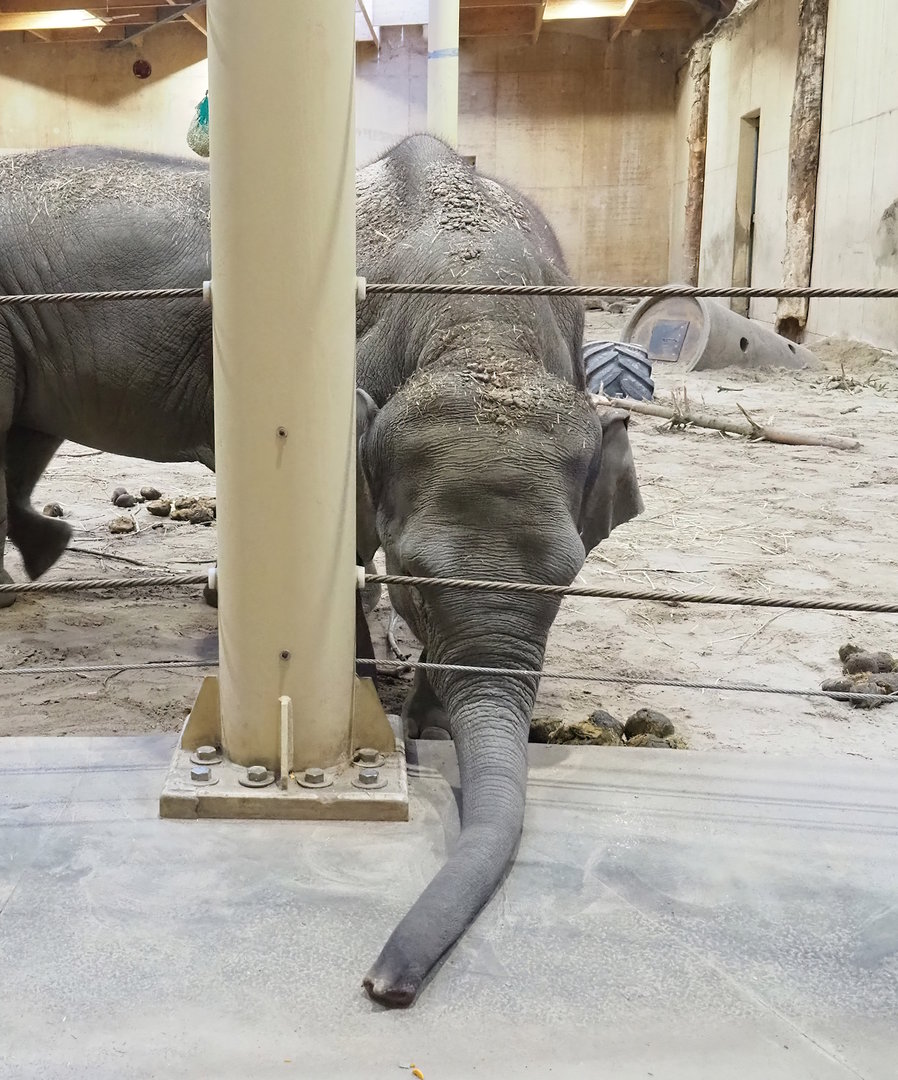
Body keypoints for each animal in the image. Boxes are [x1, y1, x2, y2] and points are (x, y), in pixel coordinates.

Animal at [0, 136, 643, 1008]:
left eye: (570, 576)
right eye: (413, 577)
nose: (383, 985)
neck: (481, 332)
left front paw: (422, 721)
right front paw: (377, 693)